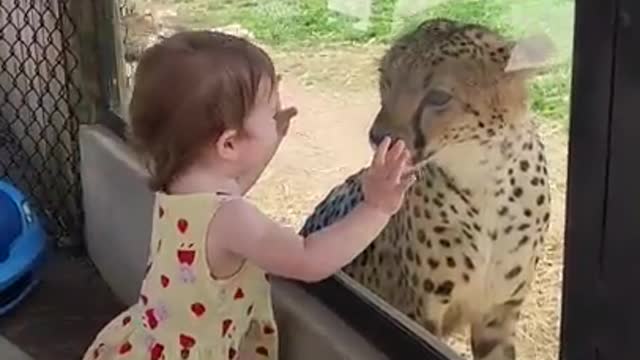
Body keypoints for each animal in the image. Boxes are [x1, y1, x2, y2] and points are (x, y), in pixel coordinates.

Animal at [300, 19, 556, 360]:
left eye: (438, 97)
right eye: (387, 81)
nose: (378, 136)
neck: (485, 180)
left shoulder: (497, 313)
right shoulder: (420, 313)